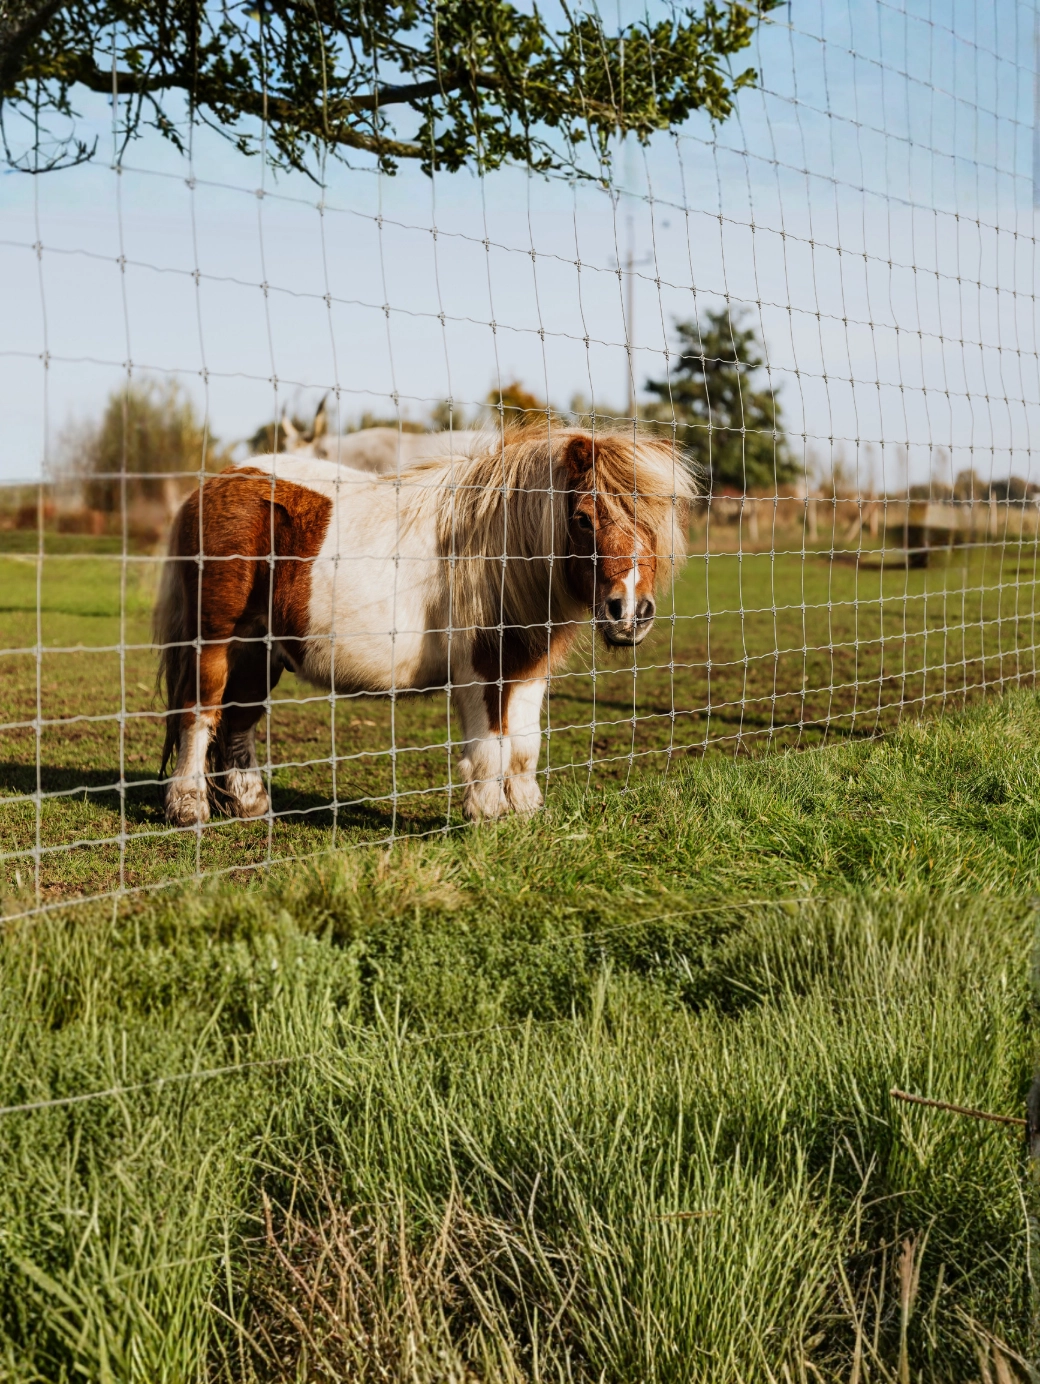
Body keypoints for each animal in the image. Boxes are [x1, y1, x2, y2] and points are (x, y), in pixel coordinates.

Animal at [154, 428, 696, 826]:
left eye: (657, 521)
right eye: (583, 519)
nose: (630, 612)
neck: (503, 550)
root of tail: (215, 483)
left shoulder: (528, 667)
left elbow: (523, 746)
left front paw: (524, 812)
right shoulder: (480, 669)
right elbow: (489, 747)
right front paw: (486, 813)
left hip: (257, 650)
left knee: (237, 722)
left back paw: (249, 804)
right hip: (214, 642)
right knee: (198, 714)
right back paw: (188, 808)